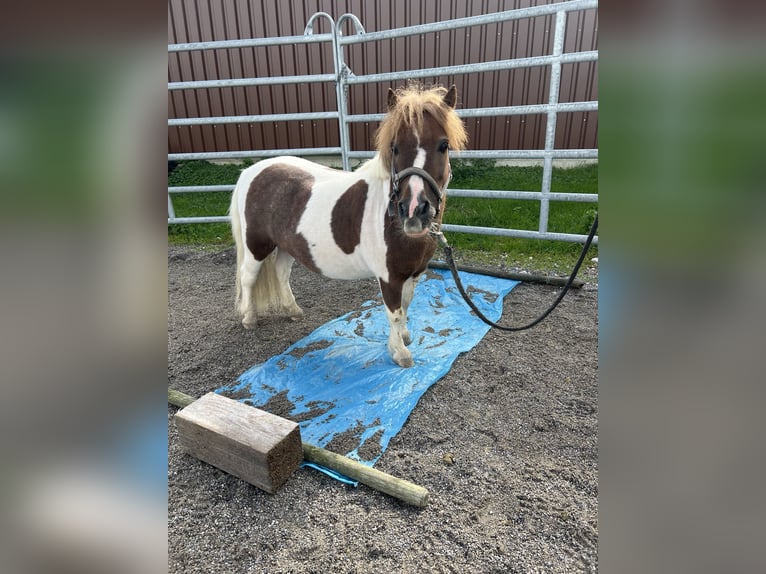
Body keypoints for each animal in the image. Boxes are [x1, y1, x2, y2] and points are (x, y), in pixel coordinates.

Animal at [230, 83, 468, 366]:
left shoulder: (414, 273)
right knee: (248, 276)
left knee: (281, 272)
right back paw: (249, 318)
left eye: (443, 145)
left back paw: (293, 310)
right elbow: (395, 312)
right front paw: (399, 353)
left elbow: (407, 304)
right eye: (395, 147)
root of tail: (251, 171)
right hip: (256, 245)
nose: (413, 211)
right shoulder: (389, 277)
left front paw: (405, 337)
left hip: (287, 244)